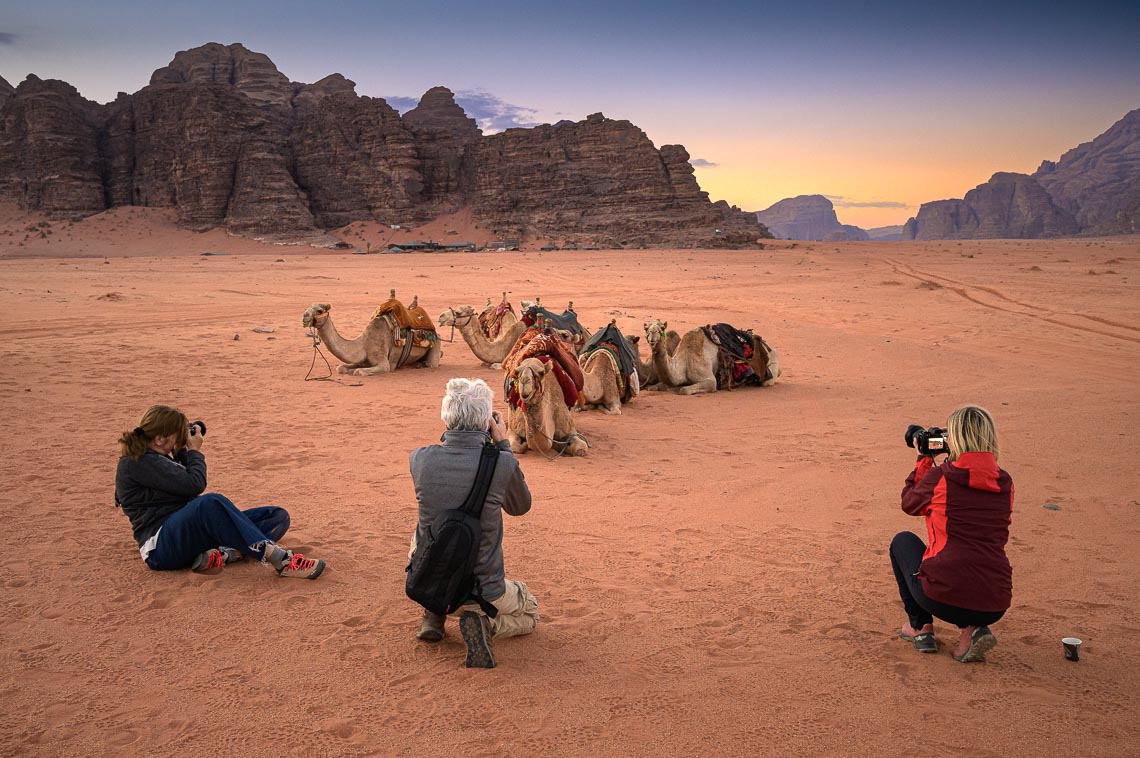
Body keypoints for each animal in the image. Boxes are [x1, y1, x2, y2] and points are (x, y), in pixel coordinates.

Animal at [298, 300, 440, 373]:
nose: (304, 317)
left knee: (432, 362)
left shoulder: (384, 364)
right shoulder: (362, 359)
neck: (363, 343)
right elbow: (340, 368)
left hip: (436, 344)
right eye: (306, 308)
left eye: (320, 311)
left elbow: (359, 371)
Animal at [647, 316, 779, 396]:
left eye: (661, 328)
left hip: (769, 372)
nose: (652, 335)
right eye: (646, 328)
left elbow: (684, 390)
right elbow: (654, 387)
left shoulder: (710, 380)